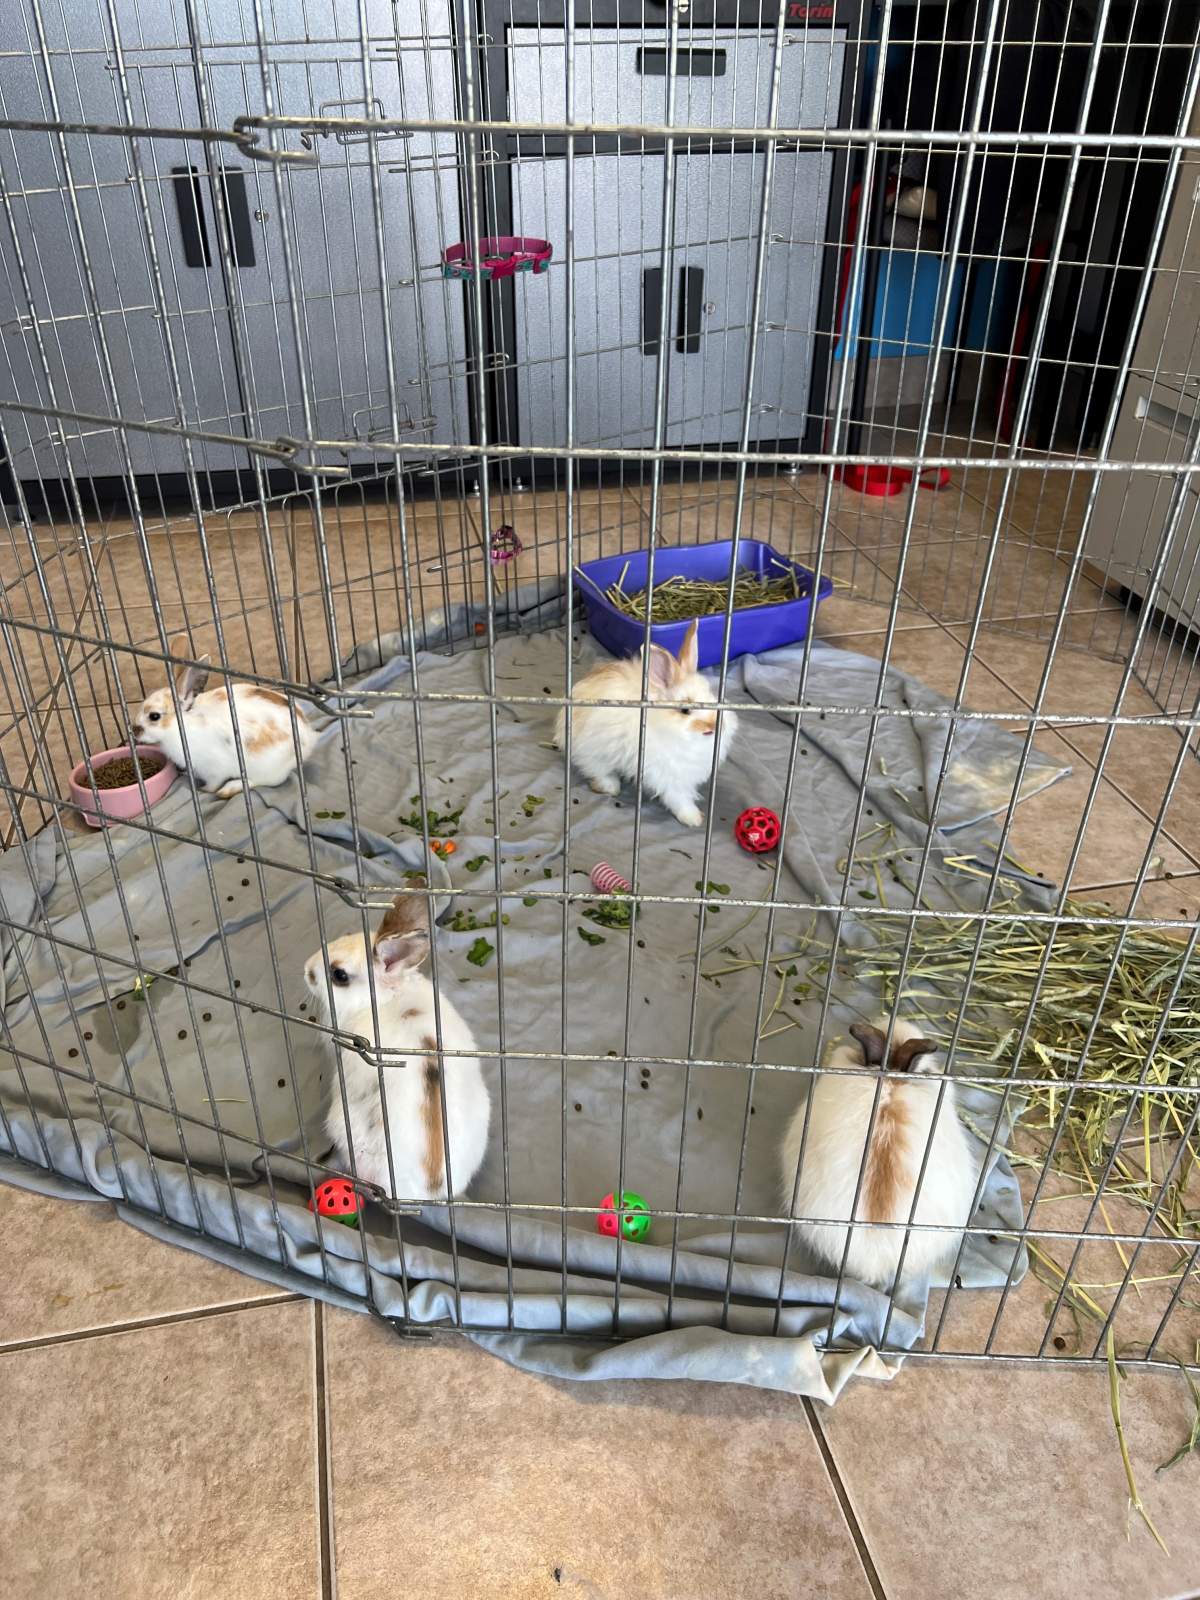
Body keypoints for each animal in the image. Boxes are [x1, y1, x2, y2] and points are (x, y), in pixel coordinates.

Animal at [131, 638, 317, 799]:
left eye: (154, 716)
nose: (134, 731)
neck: (182, 726)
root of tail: (308, 738)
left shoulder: (213, 769)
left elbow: (213, 783)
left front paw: (204, 790)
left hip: (266, 768)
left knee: (262, 781)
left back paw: (229, 789)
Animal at [552, 619, 738, 827]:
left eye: (711, 695)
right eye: (685, 710)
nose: (713, 726)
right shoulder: (668, 775)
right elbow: (679, 798)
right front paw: (693, 818)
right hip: (594, 749)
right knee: (595, 768)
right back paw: (610, 786)